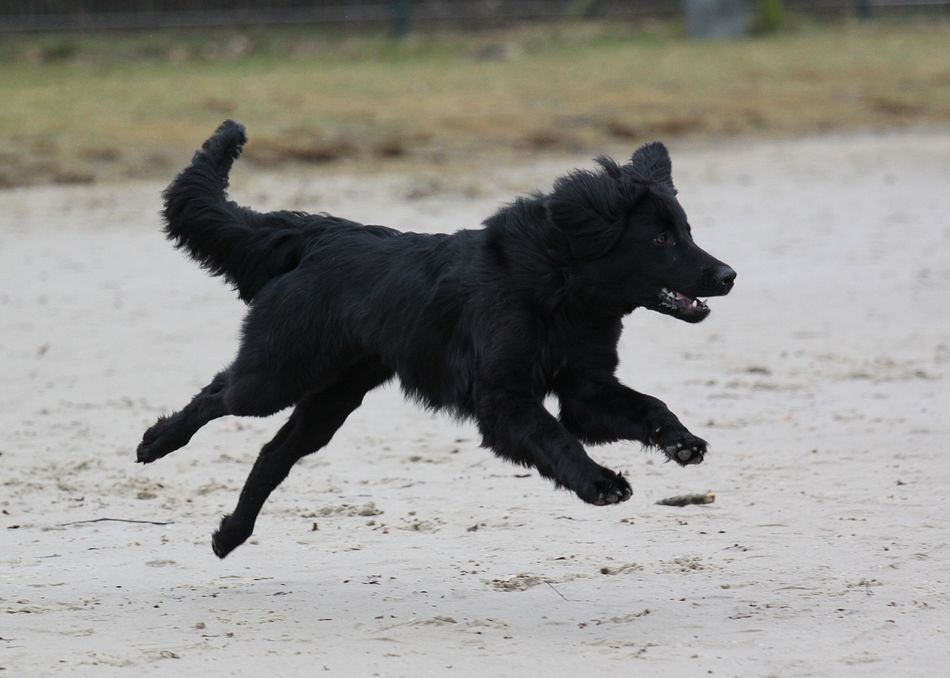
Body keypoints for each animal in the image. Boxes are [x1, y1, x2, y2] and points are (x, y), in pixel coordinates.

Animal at [137, 120, 735, 558]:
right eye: (660, 240)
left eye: (686, 230)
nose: (728, 275)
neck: (559, 287)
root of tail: (319, 234)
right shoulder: (504, 401)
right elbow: (556, 440)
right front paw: (599, 482)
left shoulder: (585, 390)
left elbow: (648, 406)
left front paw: (681, 440)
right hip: (277, 376)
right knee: (219, 393)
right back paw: (157, 442)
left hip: (332, 398)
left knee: (272, 454)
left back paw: (229, 534)